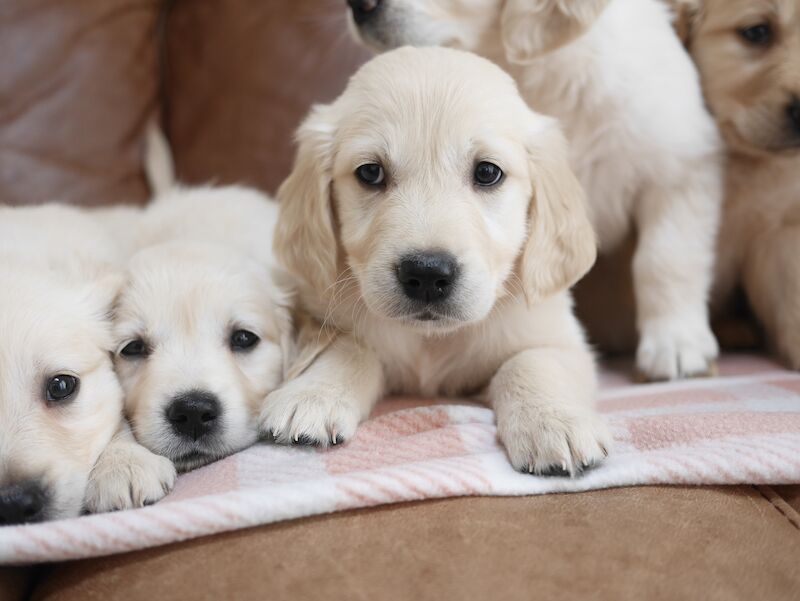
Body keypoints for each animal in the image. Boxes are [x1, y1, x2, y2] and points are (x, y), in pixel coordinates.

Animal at [266, 47, 608, 476]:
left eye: (487, 172)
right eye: (370, 172)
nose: (426, 274)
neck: (431, 341)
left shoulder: (561, 340)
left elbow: (530, 362)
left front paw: (553, 421)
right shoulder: (326, 317)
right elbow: (351, 348)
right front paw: (312, 395)